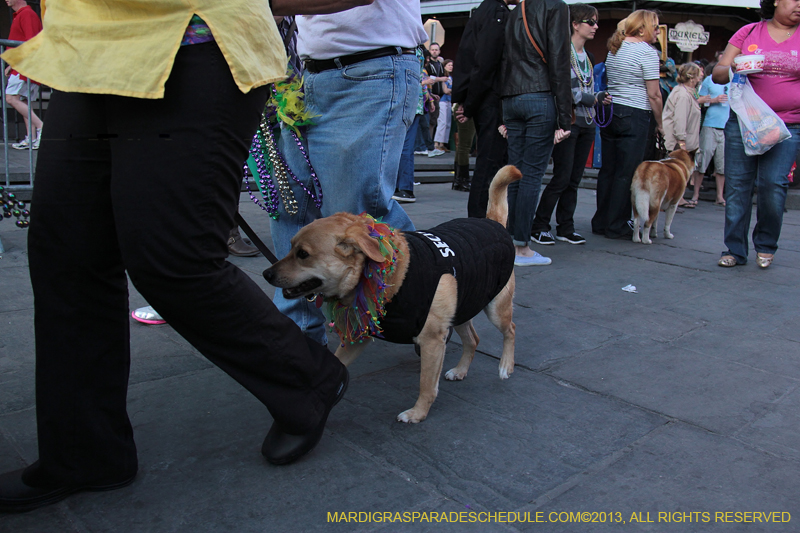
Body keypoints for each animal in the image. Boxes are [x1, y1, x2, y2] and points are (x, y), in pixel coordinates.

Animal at [266, 166, 520, 424]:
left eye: (303, 254)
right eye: (290, 247)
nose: (267, 274)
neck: (386, 274)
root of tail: (492, 222)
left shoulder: (431, 341)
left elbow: (426, 385)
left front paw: (418, 413)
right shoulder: (362, 334)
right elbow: (338, 361)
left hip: (496, 308)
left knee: (510, 329)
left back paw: (506, 366)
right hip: (463, 308)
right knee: (473, 340)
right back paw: (461, 370)